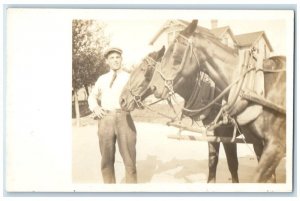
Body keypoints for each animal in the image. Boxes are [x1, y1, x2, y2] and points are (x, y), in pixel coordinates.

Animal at [150, 20, 286, 182]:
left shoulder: (274, 145)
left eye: (174, 51)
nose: (154, 87)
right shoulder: (250, 141)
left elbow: (238, 167)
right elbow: (215, 164)